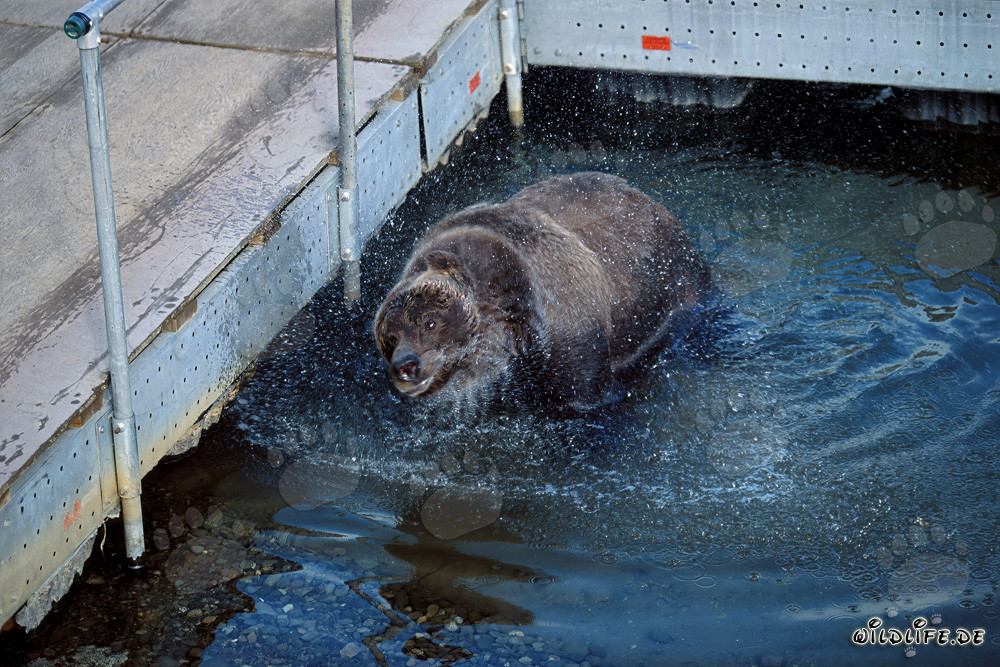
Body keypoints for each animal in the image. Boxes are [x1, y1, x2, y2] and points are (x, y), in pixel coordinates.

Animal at [374, 172, 715, 412]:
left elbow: (587, 391)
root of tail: (652, 201)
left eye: (429, 322)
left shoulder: (568, 322)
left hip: (675, 280)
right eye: (390, 338)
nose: (406, 364)